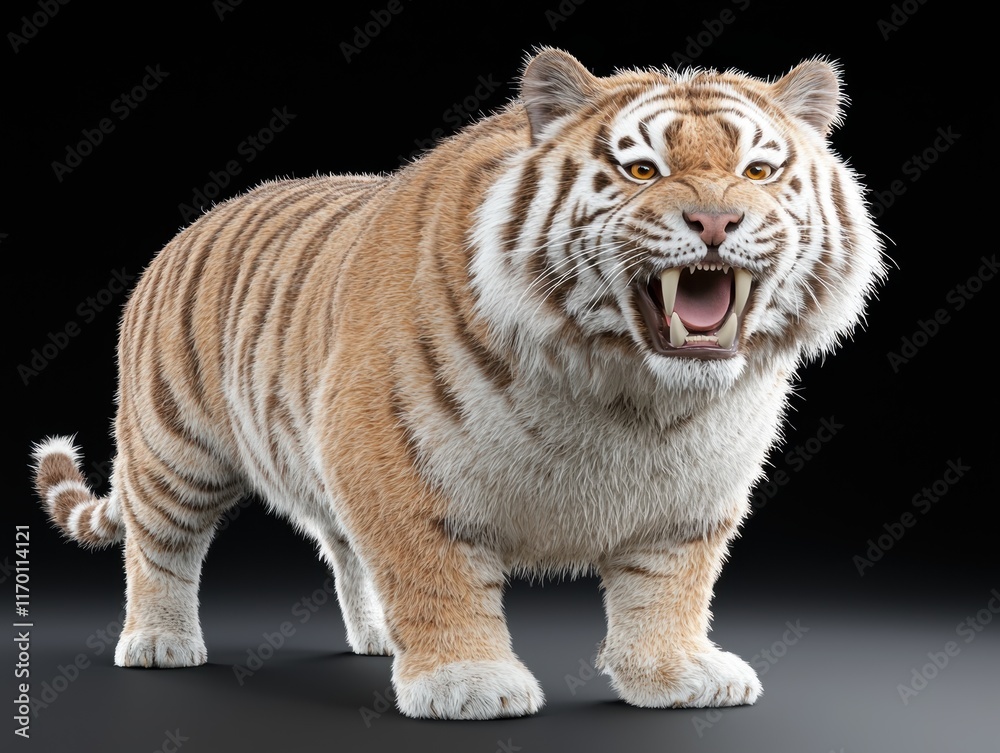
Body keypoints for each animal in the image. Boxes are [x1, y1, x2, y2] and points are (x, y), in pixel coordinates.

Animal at [31, 47, 886, 720]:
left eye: (758, 170)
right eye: (641, 168)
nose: (715, 221)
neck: (629, 393)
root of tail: (184, 231)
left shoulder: (695, 491)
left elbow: (669, 588)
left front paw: (674, 675)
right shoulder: (394, 461)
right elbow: (435, 575)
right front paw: (469, 684)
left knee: (343, 549)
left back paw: (376, 636)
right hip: (174, 449)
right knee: (160, 545)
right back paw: (159, 640)